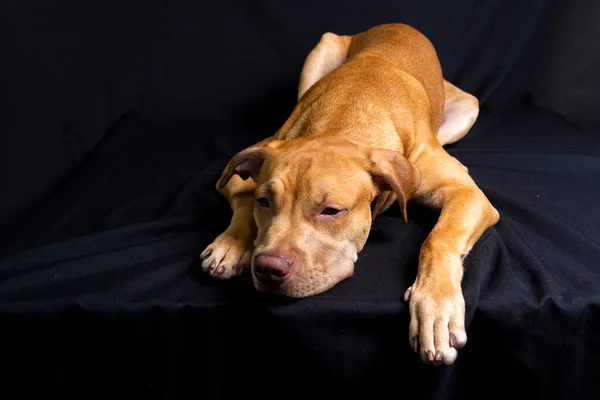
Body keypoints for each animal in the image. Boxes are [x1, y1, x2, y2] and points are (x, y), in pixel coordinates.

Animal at [199, 22, 500, 366]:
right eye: (265, 202)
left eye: (331, 210)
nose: (268, 268)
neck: (344, 117)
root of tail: (397, 24)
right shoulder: (249, 158)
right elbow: (242, 194)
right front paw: (231, 244)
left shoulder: (468, 195)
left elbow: (438, 239)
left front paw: (436, 307)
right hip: (321, 51)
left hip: (467, 109)